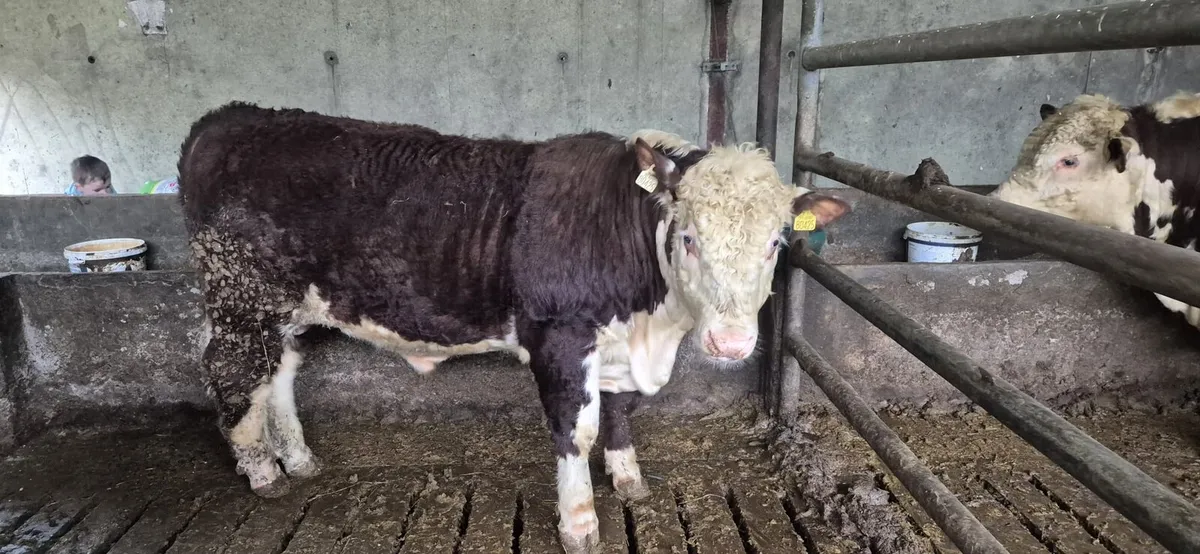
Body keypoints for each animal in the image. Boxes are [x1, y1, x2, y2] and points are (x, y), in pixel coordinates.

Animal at [176, 102, 851, 553]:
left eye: (776, 243)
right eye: (688, 237)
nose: (731, 343)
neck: (650, 326)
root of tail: (229, 118)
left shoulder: (615, 346)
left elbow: (621, 410)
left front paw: (628, 479)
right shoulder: (559, 335)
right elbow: (577, 430)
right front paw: (579, 522)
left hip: (294, 309)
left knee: (281, 373)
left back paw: (298, 458)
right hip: (241, 297)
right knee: (233, 371)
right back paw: (262, 471)